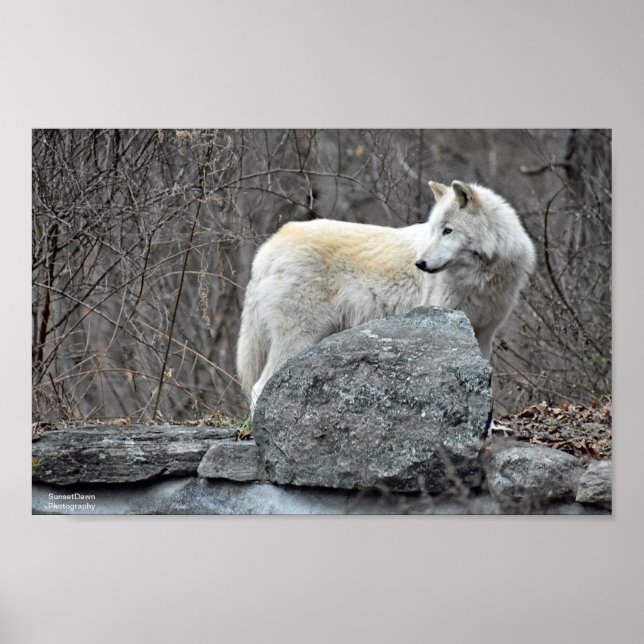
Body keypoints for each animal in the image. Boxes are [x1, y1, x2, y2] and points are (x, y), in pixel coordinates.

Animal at [237, 180, 535, 409]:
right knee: (258, 387)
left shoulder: (484, 333)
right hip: (299, 339)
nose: (420, 264)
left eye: (448, 231)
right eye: (434, 230)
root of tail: (268, 248)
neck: (480, 278)